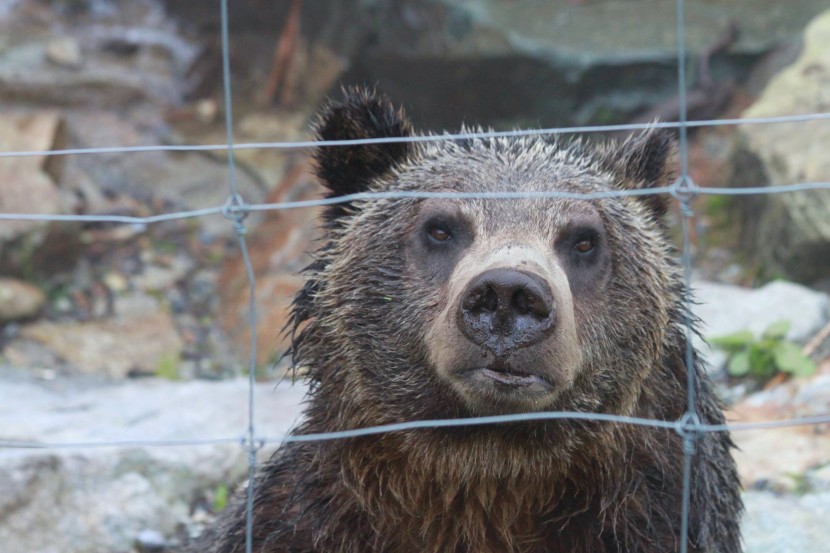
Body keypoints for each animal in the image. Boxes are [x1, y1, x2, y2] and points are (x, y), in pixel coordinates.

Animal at [200, 90, 740, 552]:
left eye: (584, 239)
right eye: (441, 228)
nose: (508, 294)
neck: (483, 471)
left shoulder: (658, 515)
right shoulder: (301, 517)